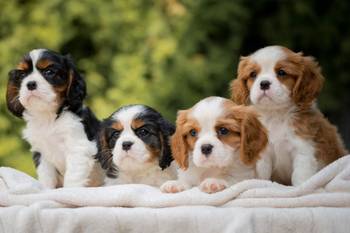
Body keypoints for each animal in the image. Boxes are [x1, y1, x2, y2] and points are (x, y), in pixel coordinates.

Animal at [6, 48, 104, 188]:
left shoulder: (78, 148)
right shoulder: (42, 154)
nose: (30, 84)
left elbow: (72, 177)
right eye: (22, 75)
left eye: (49, 72)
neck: (48, 117)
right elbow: (46, 177)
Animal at [231, 44, 348, 185]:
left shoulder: (303, 150)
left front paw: (301, 188)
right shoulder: (263, 153)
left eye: (282, 72)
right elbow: (262, 174)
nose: (264, 83)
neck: (275, 114)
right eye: (253, 74)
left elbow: (300, 176)